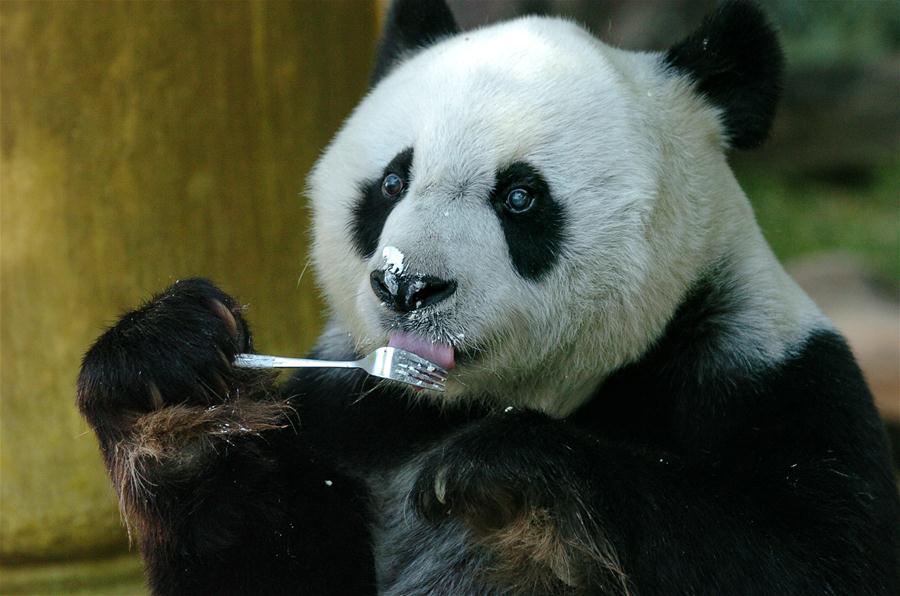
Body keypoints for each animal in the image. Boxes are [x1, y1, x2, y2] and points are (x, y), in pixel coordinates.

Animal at [77, 1, 900, 594]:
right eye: (392, 181)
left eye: (520, 197)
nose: (408, 285)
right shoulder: (351, 422)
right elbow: (262, 566)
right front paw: (163, 367)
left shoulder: (769, 377)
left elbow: (812, 558)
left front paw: (504, 469)